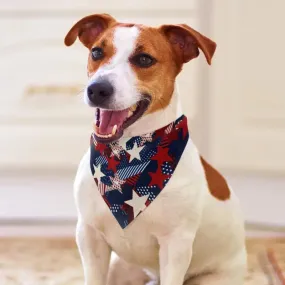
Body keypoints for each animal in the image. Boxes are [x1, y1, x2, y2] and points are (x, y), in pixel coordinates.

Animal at [64, 13, 246, 284]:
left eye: (144, 59)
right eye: (97, 52)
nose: (97, 88)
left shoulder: (176, 246)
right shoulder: (89, 236)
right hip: (121, 268)